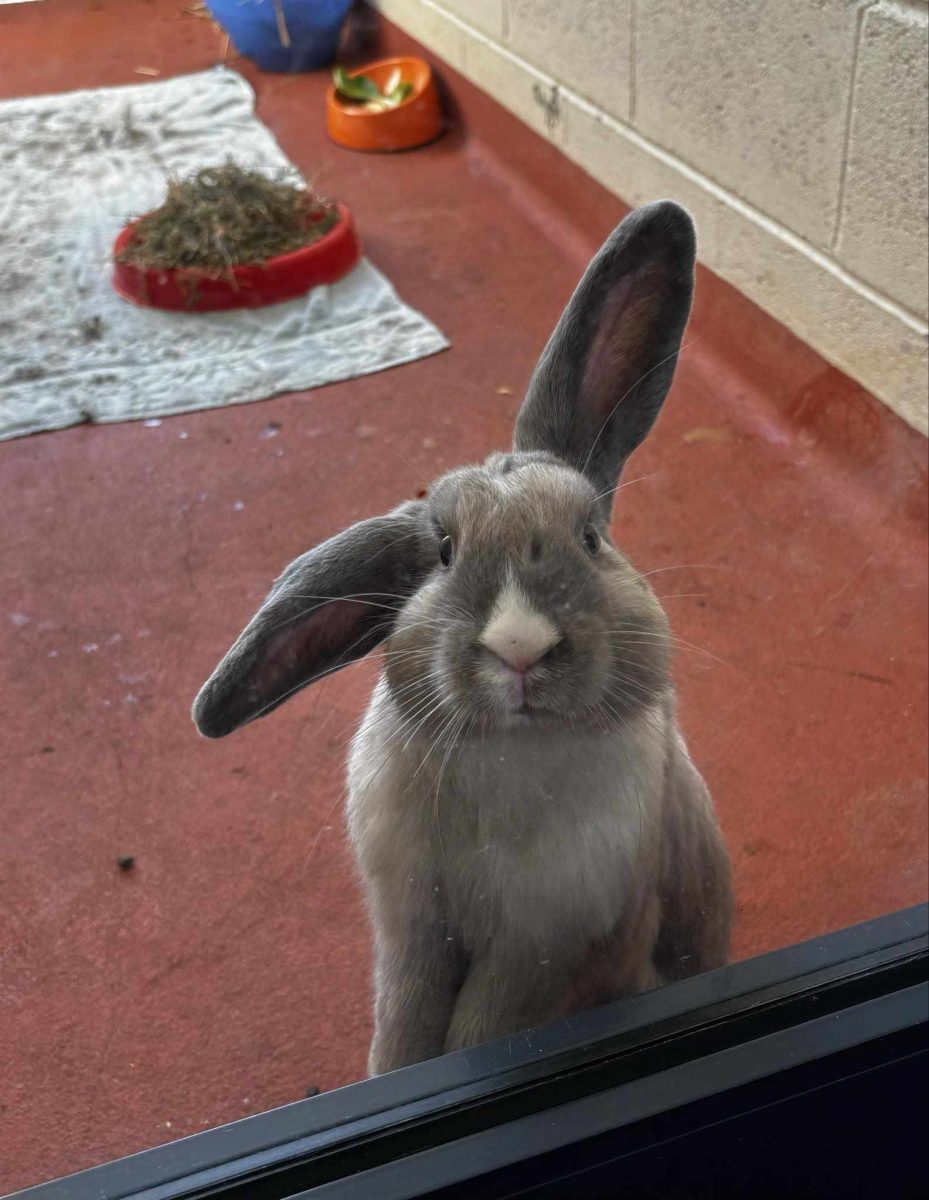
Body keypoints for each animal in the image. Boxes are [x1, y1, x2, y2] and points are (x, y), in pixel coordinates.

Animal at [194, 201, 734, 1075]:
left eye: (590, 536)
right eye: (443, 551)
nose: (520, 648)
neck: (510, 753)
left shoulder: (546, 953)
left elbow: (480, 1031)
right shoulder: (414, 931)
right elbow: (406, 1022)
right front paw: (392, 1075)